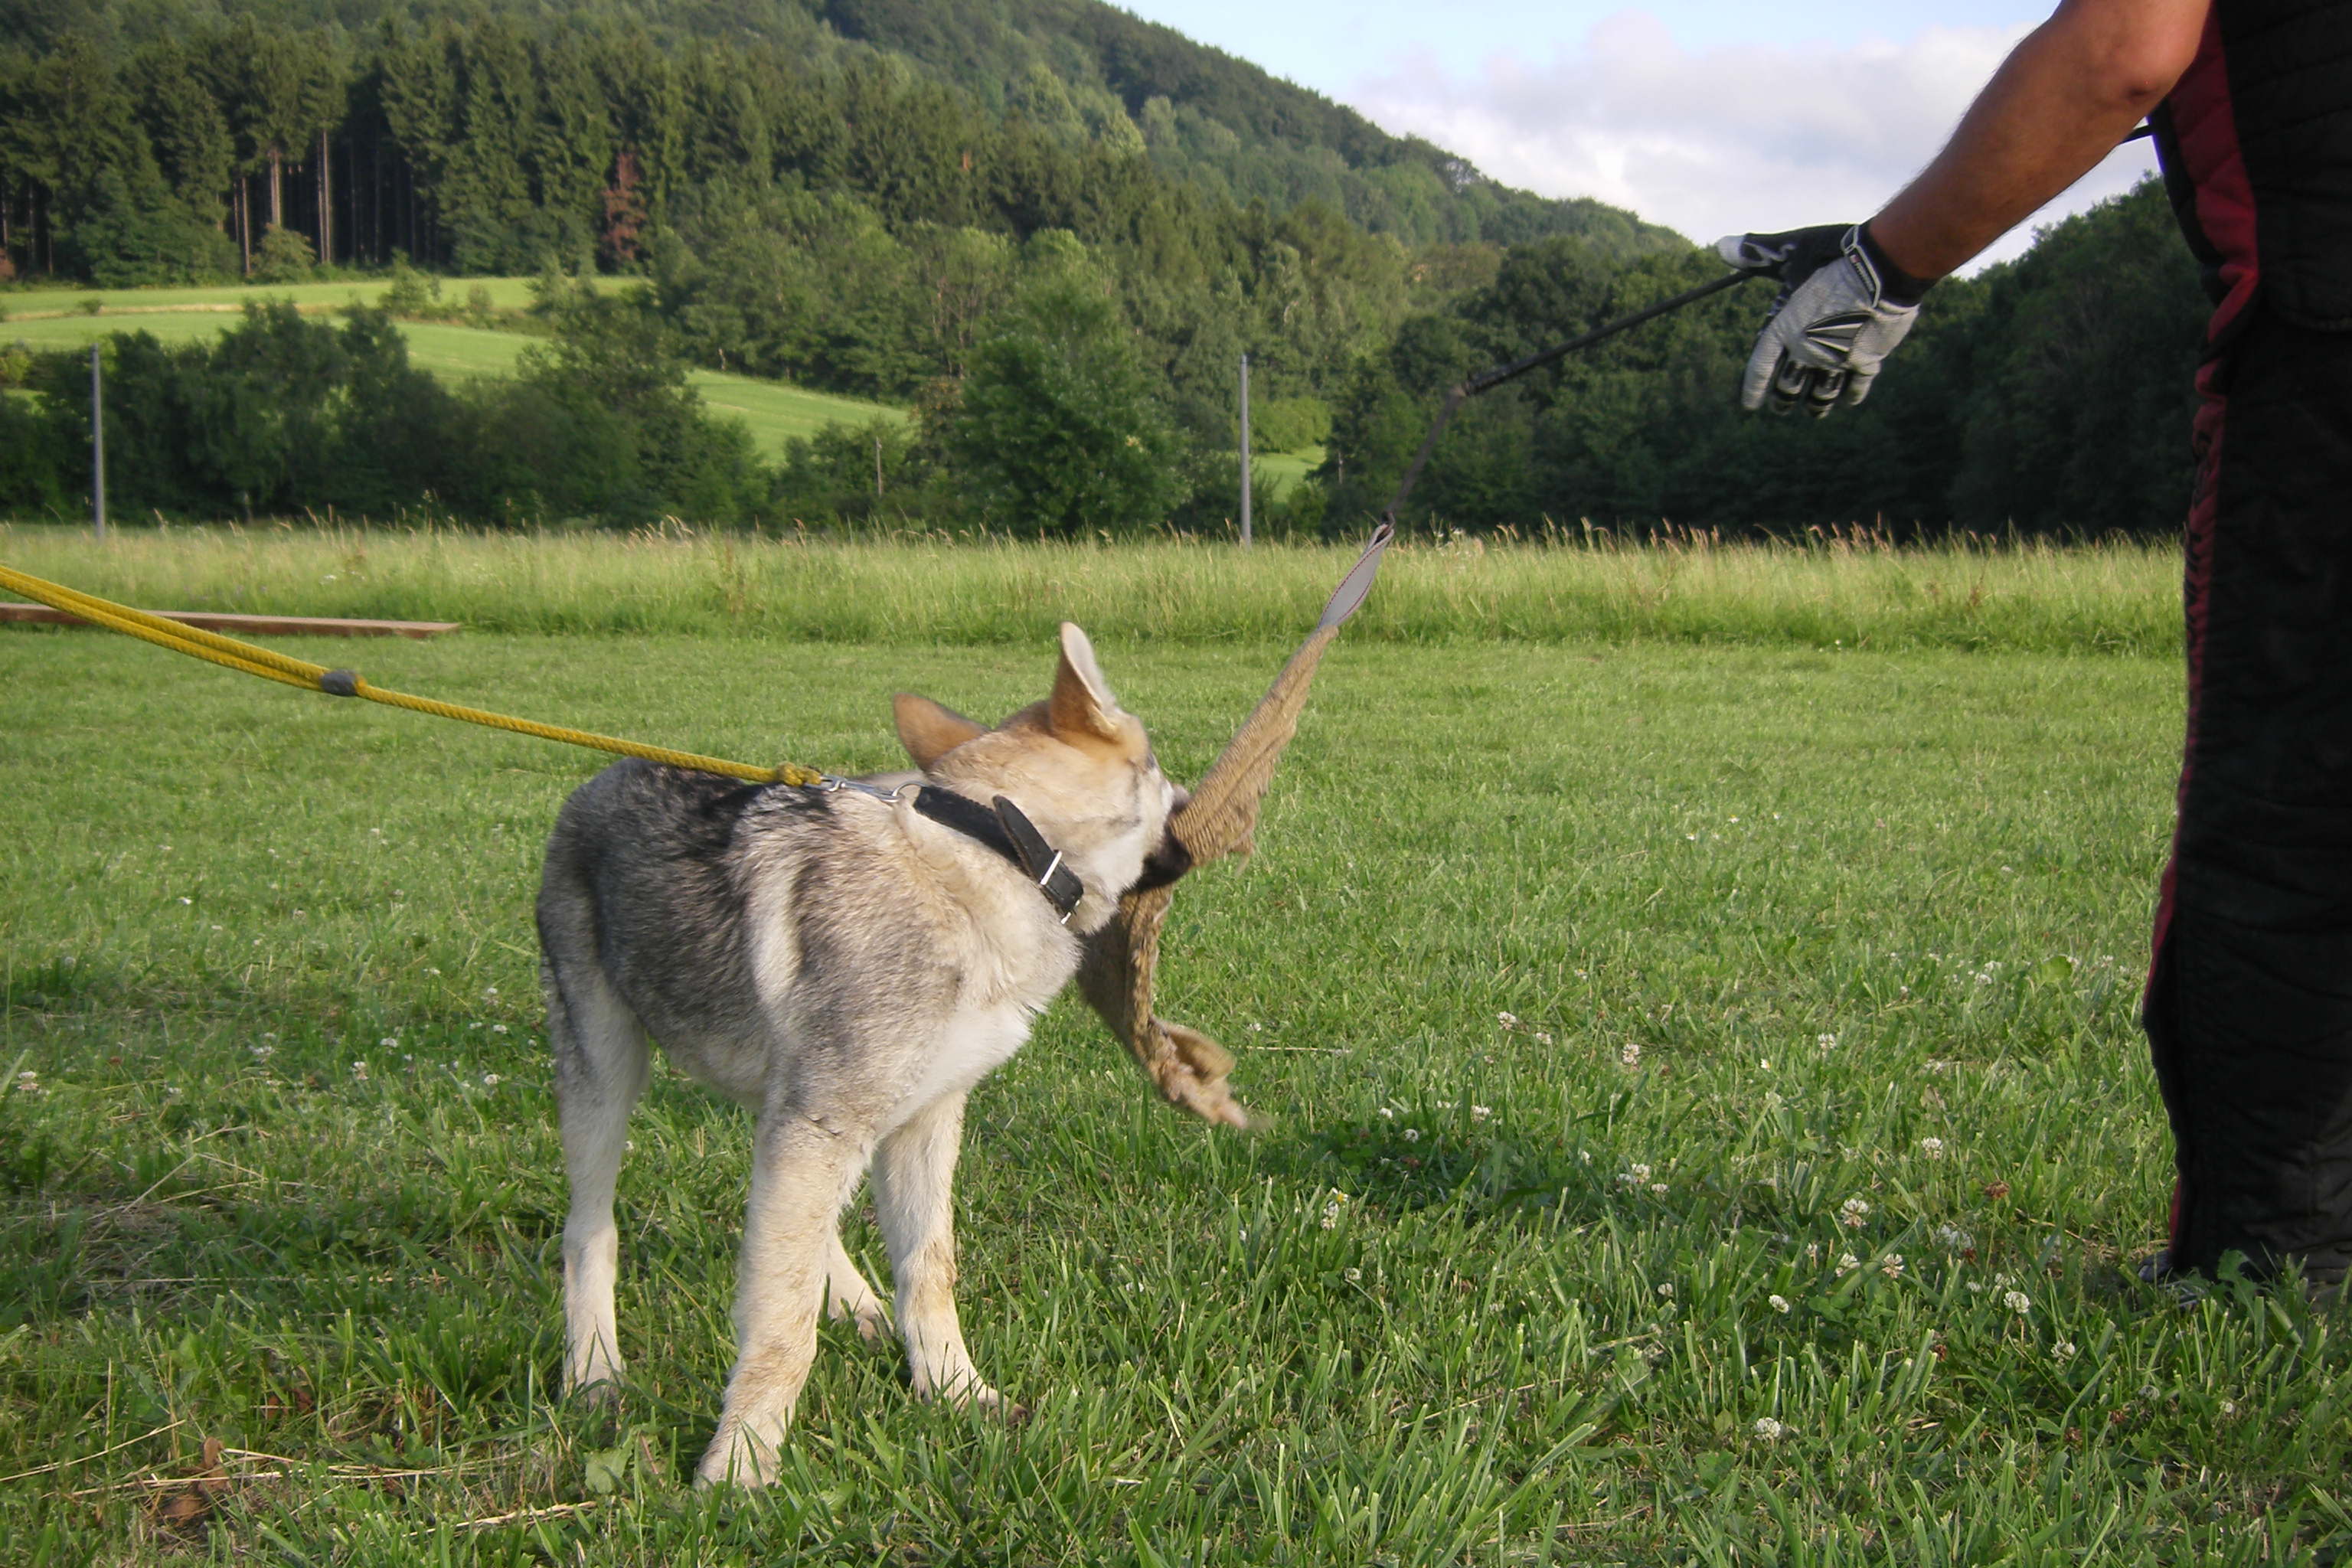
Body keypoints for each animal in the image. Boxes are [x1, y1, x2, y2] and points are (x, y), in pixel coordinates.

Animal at [534, 620, 1176, 1485]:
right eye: (1163, 774)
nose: (1199, 822)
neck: (1000, 849)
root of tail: (600, 776)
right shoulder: (822, 1124)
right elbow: (780, 1326)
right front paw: (738, 1468)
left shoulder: (919, 1123)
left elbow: (926, 1271)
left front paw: (955, 1392)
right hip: (607, 1079)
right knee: (590, 1231)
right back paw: (595, 1375)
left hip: (776, 1098)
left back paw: (855, 1302)